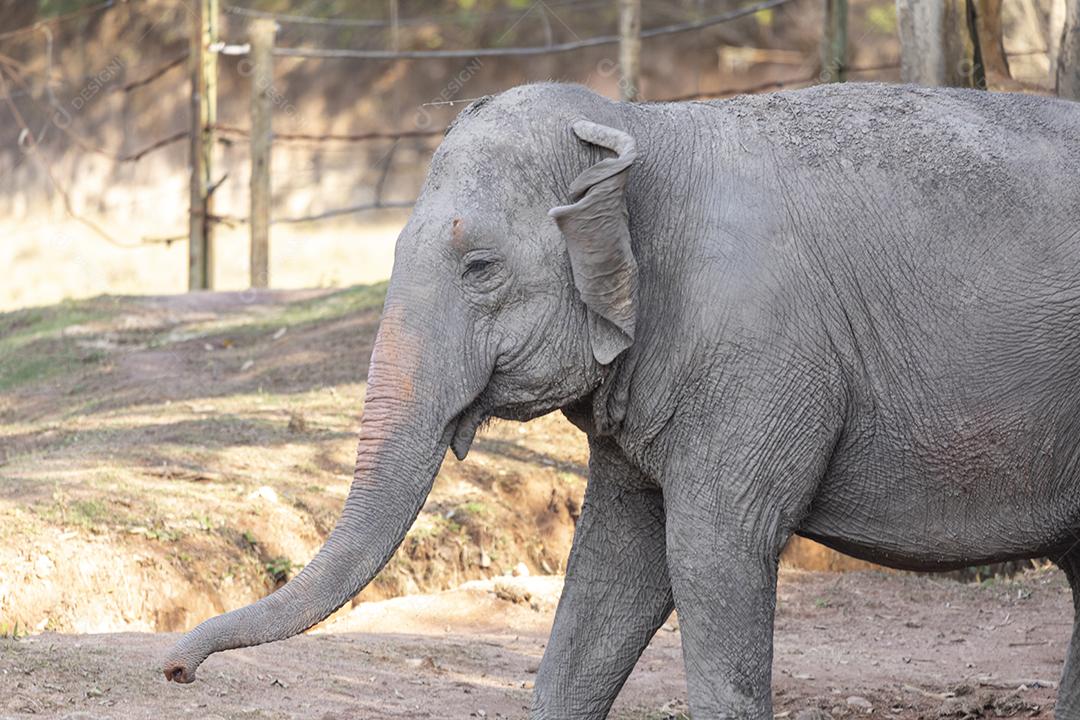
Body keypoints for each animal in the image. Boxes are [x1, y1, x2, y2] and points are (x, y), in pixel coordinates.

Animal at [163, 81, 1080, 718]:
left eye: (481, 268)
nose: (174, 669)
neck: (642, 124)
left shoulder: (757, 355)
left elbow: (709, 555)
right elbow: (612, 567)